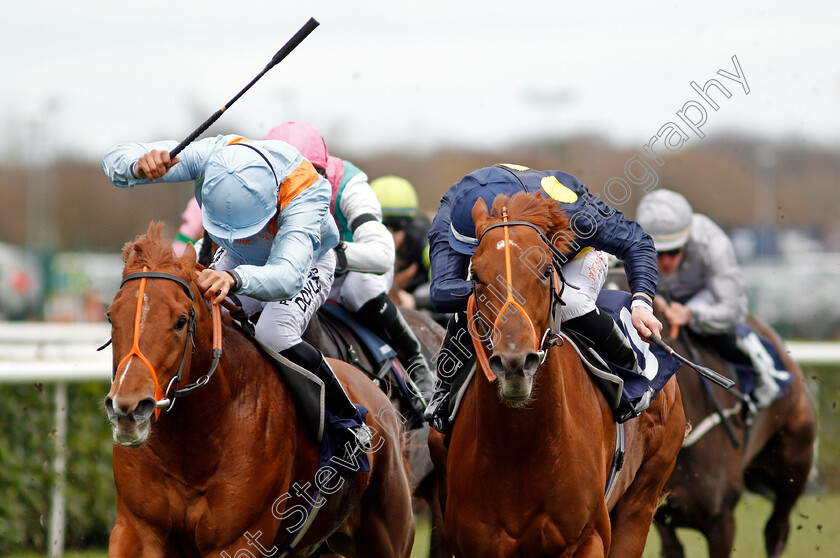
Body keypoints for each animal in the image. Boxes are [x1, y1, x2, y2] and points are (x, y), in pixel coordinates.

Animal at [103, 224, 416, 558]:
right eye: (111, 316)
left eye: (180, 320)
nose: (129, 409)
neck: (195, 442)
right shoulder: (137, 528)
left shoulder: (238, 540)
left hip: (387, 534)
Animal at [430, 194, 684, 558]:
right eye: (475, 276)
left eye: (546, 270)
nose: (514, 364)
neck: (521, 451)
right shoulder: (473, 545)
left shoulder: (588, 537)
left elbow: (635, 239)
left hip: (640, 503)